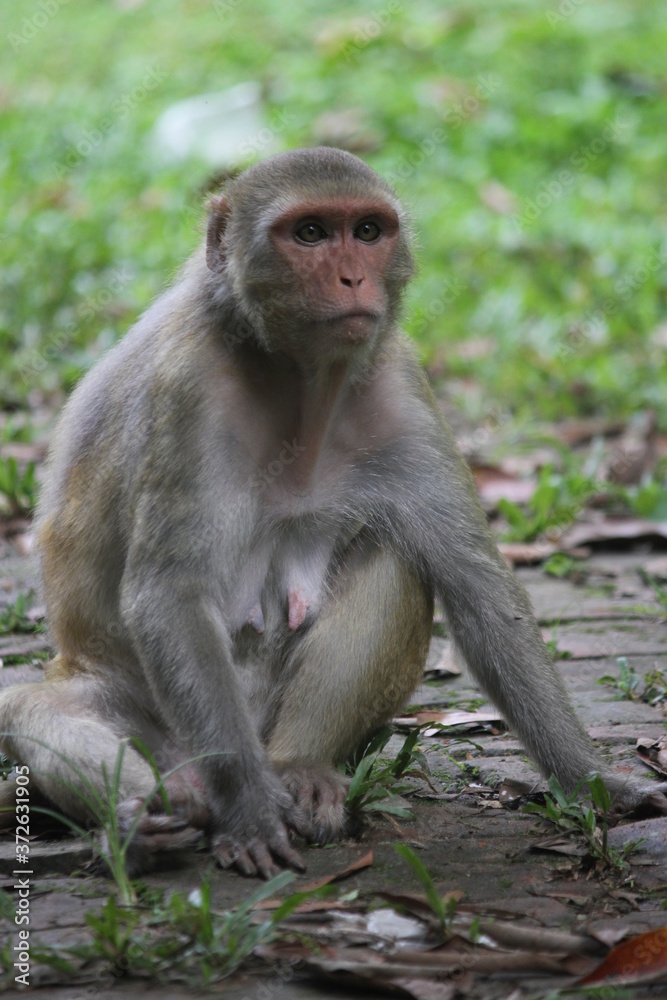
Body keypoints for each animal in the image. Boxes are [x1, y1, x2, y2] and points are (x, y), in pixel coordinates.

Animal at [1, 145, 667, 880]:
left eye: (367, 232)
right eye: (311, 234)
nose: (352, 277)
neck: (296, 373)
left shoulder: (397, 385)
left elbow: (480, 589)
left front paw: (597, 782)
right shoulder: (189, 390)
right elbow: (168, 592)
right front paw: (250, 813)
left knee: (398, 562)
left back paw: (299, 767)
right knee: (30, 709)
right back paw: (147, 821)